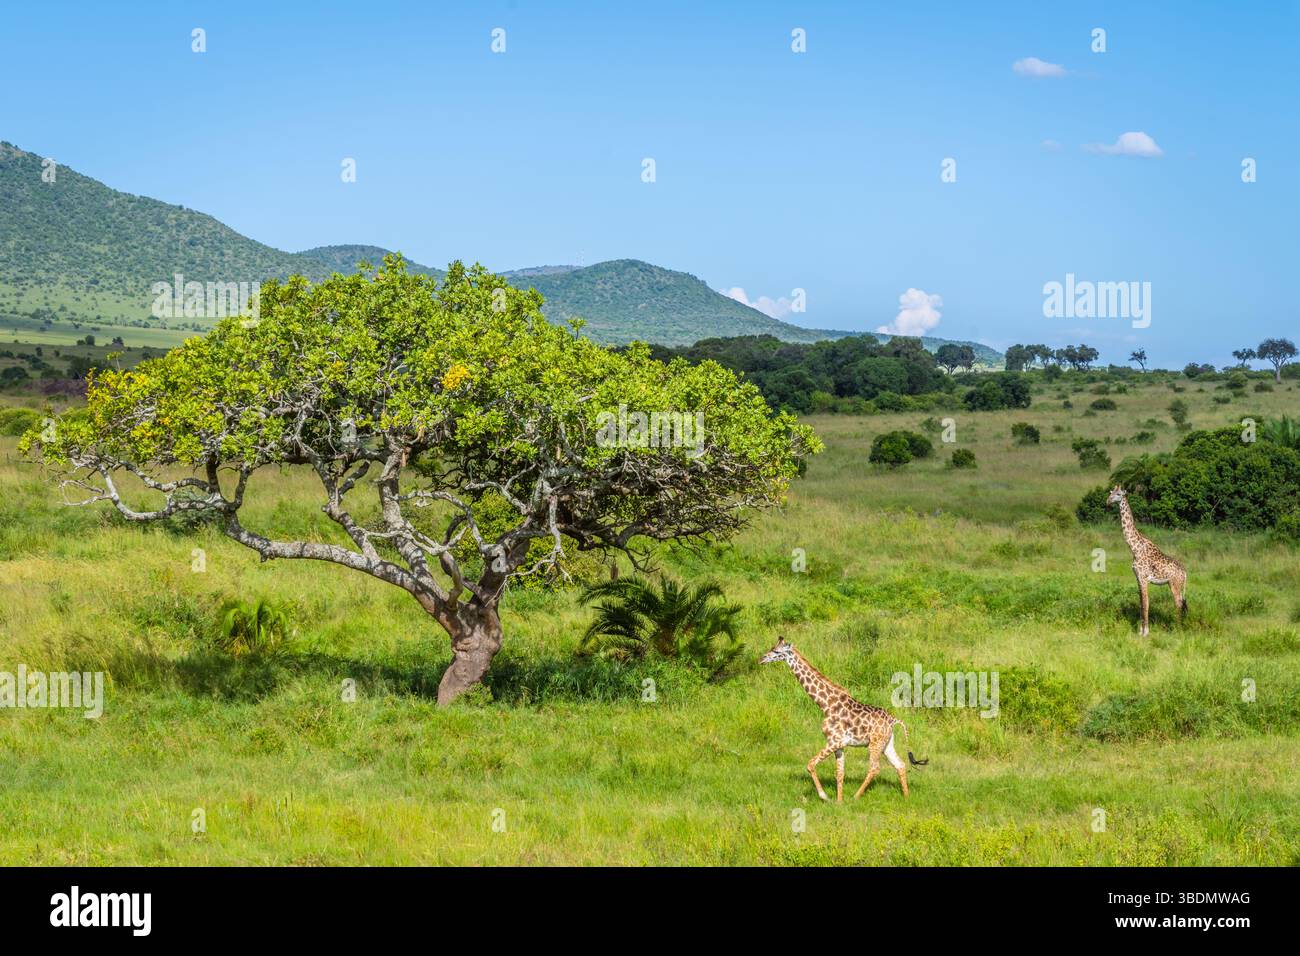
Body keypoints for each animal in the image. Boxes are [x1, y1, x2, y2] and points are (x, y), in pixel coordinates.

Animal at [760, 638, 927, 802]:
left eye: (776, 651)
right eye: (772, 647)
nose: (761, 659)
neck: (825, 705)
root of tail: (893, 719)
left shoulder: (834, 741)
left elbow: (810, 764)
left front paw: (825, 797)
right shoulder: (839, 745)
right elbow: (839, 773)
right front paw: (839, 802)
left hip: (875, 743)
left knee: (875, 768)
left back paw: (855, 797)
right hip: (887, 744)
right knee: (900, 765)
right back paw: (906, 797)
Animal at [1107, 485, 1188, 636]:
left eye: (1119, 494)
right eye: (1110, 493)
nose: (1108, 501)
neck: (1134, 548)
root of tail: (1185, 573)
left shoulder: (1144, 578)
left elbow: (1146, 604)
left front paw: (1145, 632)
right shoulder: (1138, 578)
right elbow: (1141, 604)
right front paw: (1140, 631)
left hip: (1174, 584)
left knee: (1178, 604)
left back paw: (1177, 629)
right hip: (1175, 585)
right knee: (1182, 603)